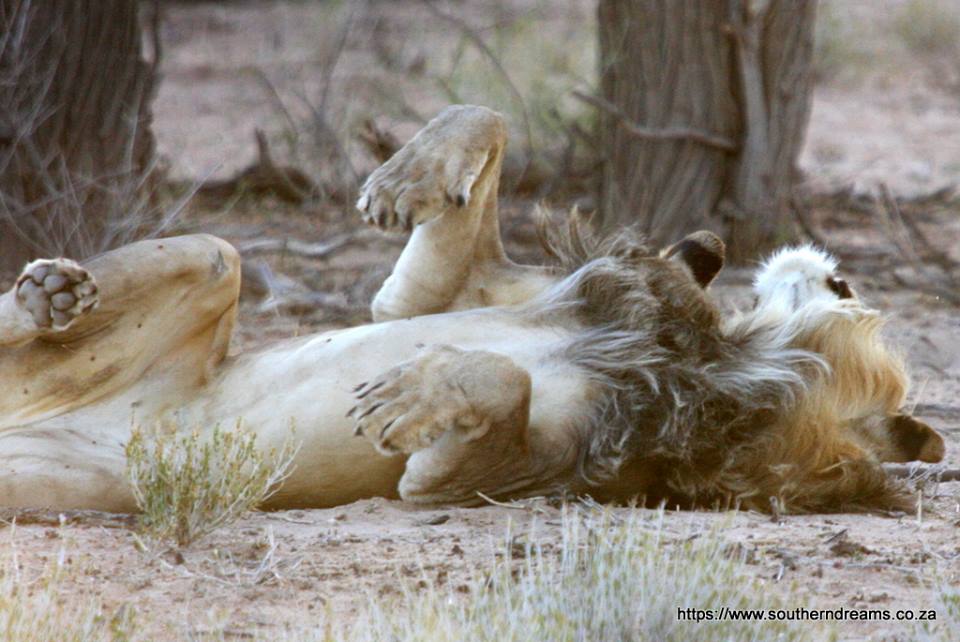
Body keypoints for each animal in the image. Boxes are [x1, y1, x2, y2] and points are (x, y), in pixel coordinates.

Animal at [0, 105, 944, 514]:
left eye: (846, 292)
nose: (831, 264)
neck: (720, 347)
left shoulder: (523, 474)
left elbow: (503, 389)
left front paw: (416, 393)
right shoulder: (442, 294)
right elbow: (482, 120)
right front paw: (401, 179)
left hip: (66, 483)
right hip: (210, 260)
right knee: (200, 255)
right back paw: (50, 291)